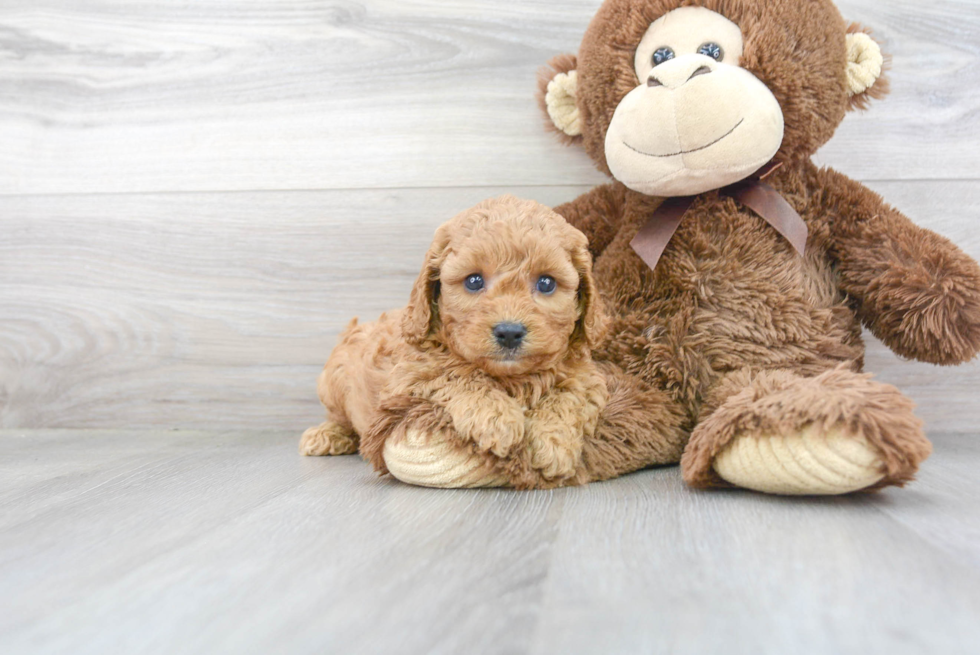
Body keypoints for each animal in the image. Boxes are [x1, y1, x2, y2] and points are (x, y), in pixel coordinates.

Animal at [298, 197, 608, 490]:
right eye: (473, 281)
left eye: (546, 283)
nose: (509, 332)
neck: (511, 378)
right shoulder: (408, 377)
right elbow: (457, 374)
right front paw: (496, 418)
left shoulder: (587, 378)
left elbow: (568, 395)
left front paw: (552, 442)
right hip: (333, 381)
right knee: (340, 417)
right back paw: (326, 435)